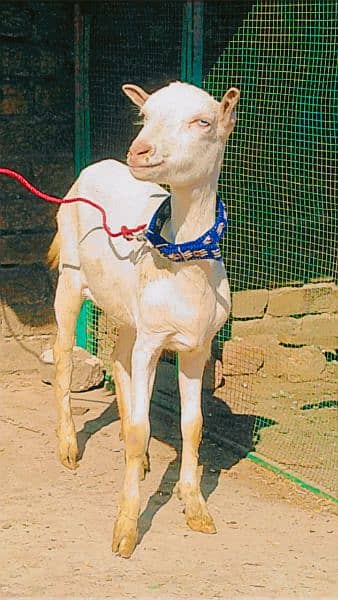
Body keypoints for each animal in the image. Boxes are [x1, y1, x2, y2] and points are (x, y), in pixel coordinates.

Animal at [48, 81, 240, 556]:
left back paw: (146, 455)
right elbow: (140, 426)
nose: (140, 151)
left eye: (203, 121)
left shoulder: (196, 345)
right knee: (63, 355)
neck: (184, 265)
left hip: (127, 310)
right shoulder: (154, 340)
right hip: (71, 278)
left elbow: (193, 425)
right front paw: (126, 528)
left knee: (118, 358)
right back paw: (68, 446)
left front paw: (195, 506)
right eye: (145, 114)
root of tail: (93, 167)